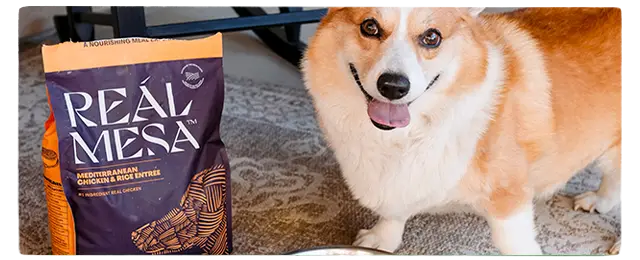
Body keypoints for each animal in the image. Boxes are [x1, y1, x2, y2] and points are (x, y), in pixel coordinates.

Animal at [302, 5, 624, 255]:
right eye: (369, 27)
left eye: (432, 37)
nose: (393, 86)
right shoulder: (399, 182)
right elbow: (394, 212)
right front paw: (382, 239)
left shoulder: (510, 202)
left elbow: (515, 244)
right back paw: (598, 202)